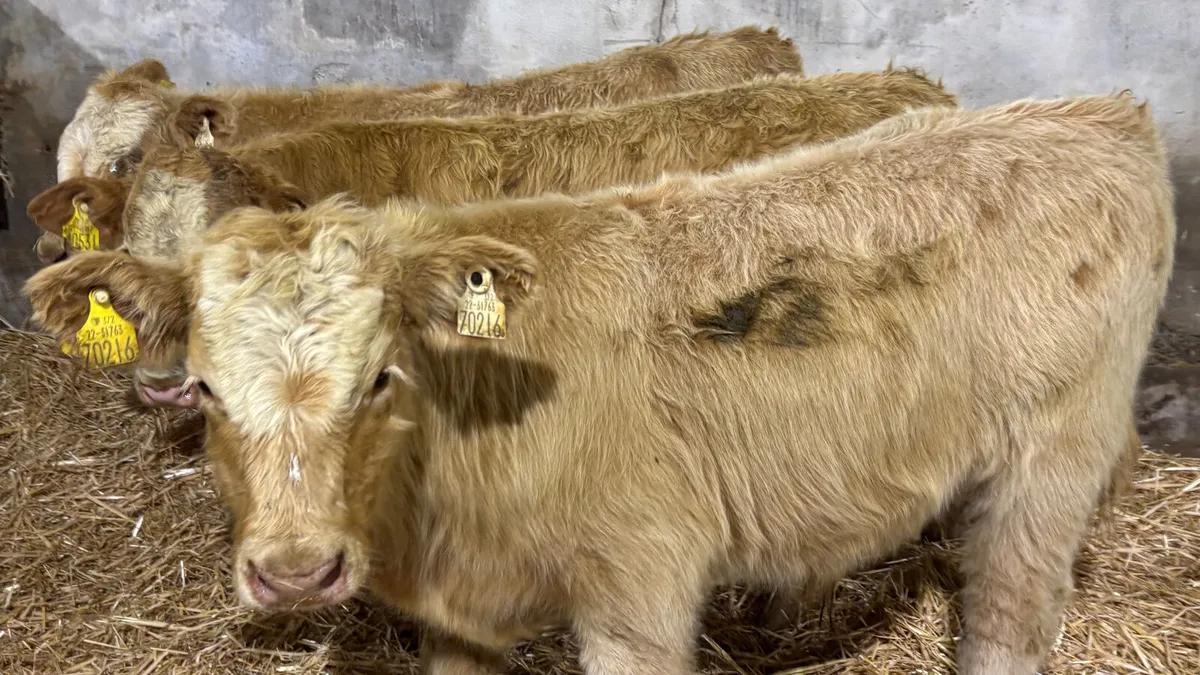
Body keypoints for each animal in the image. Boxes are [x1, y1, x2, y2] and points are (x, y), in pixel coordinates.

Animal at [25, 92, 1174, 675]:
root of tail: (1093, 111)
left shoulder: (642, 590)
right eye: (210, 390)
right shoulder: (459, 617)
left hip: (1051, 460)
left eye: (382, 377)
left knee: (1011, 614)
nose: (297, 573)